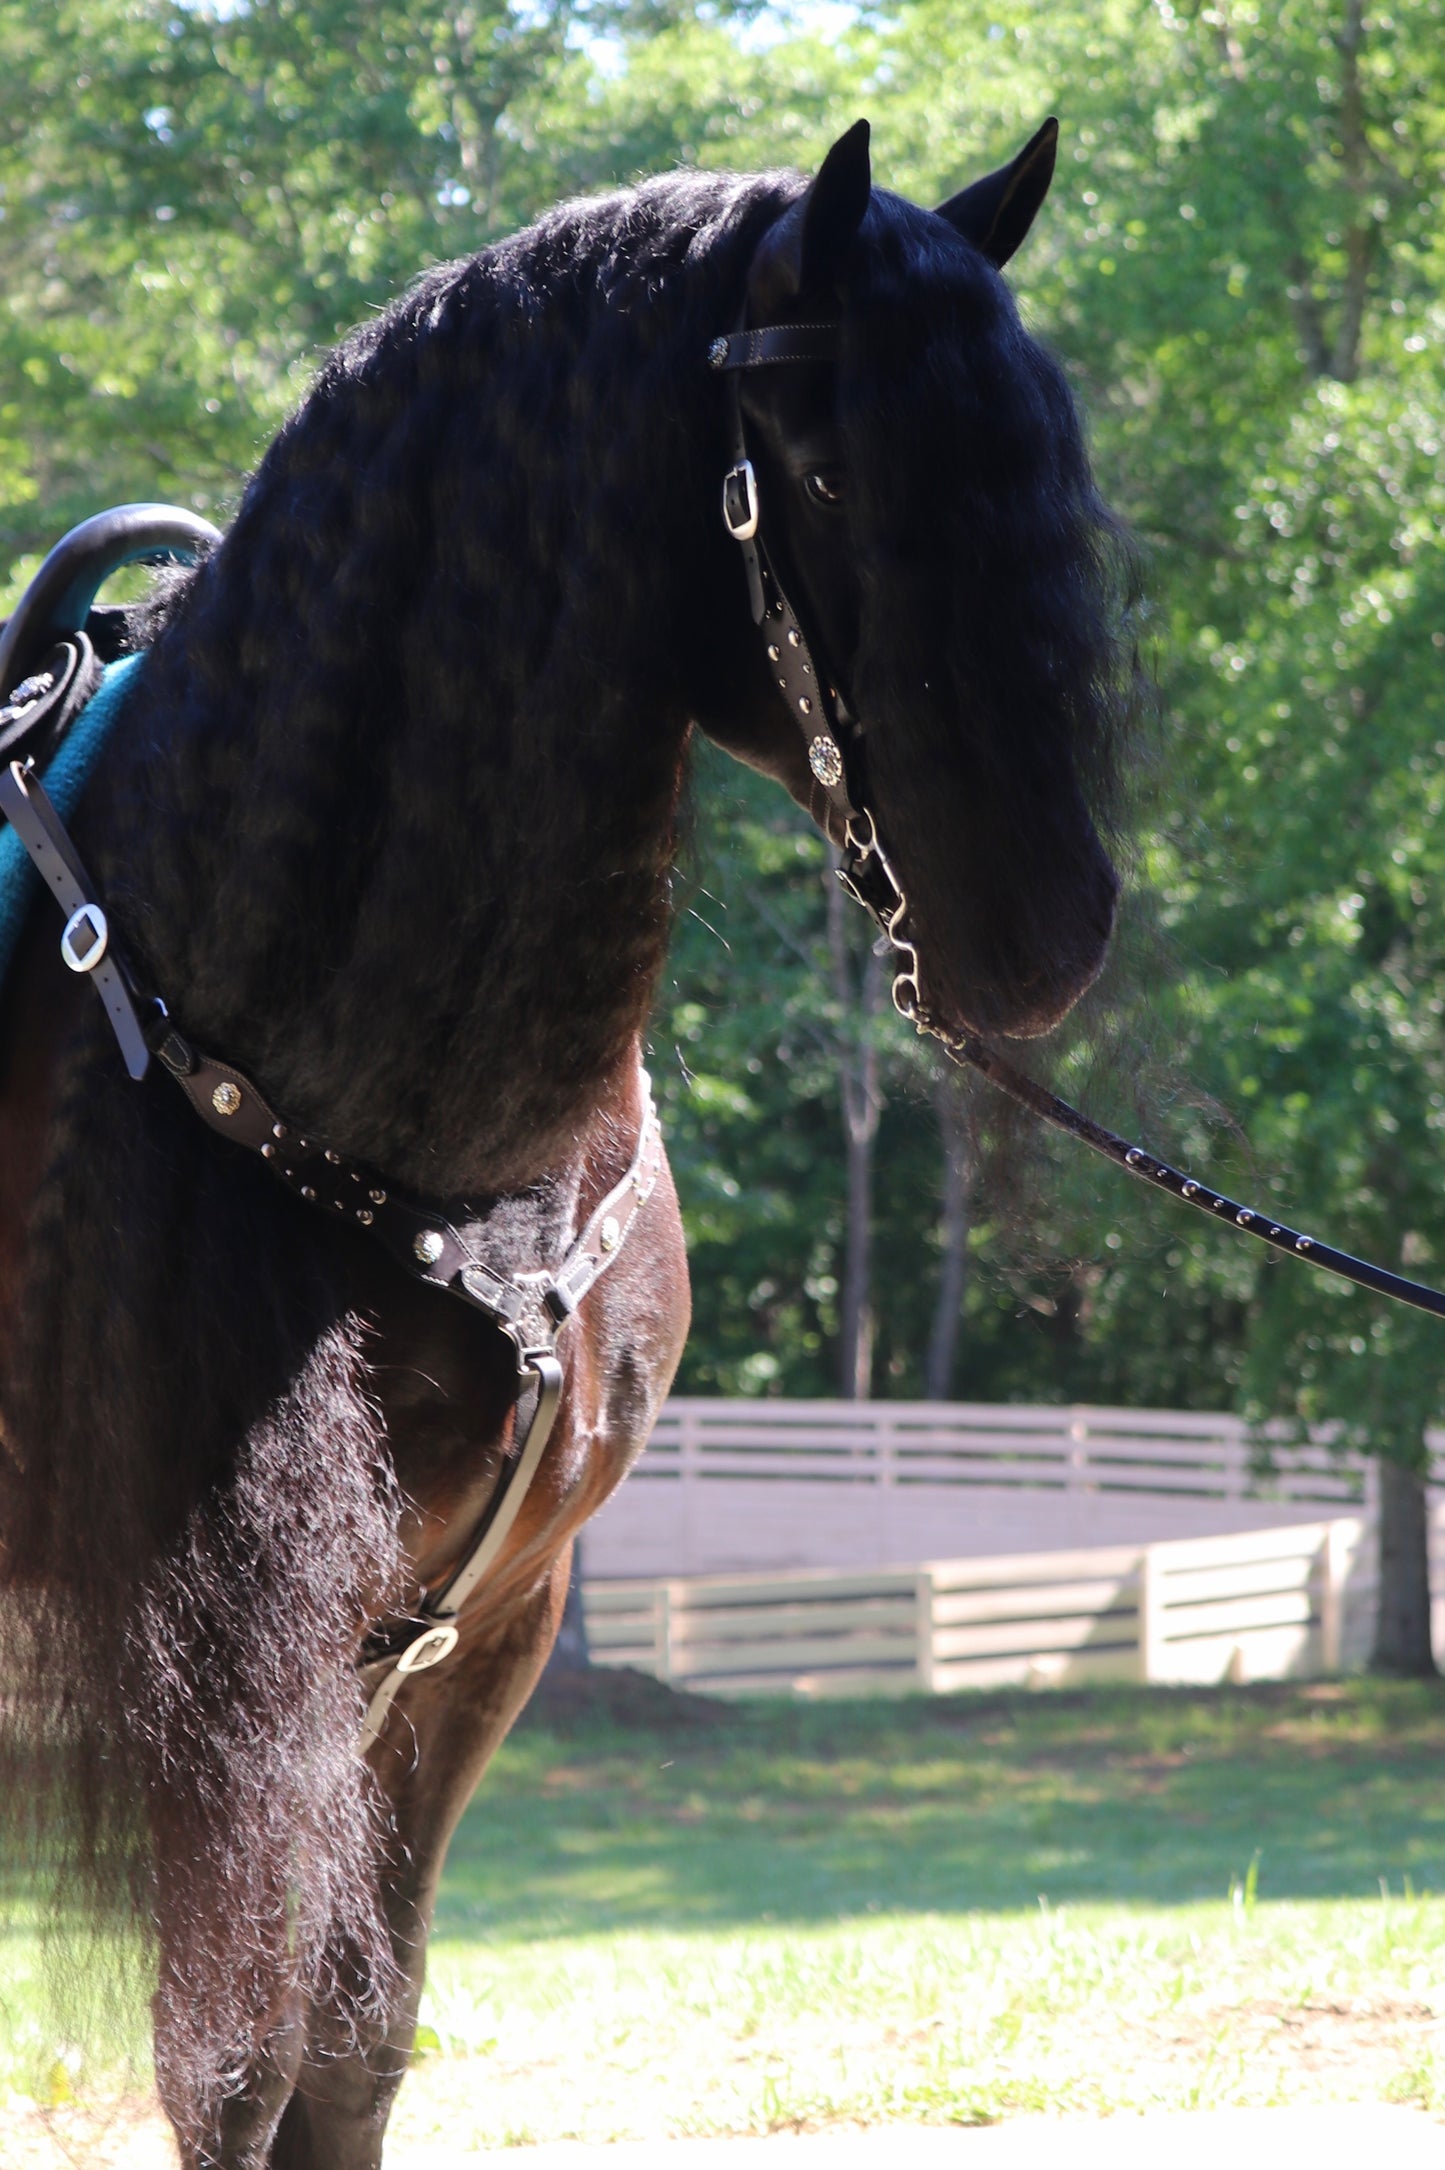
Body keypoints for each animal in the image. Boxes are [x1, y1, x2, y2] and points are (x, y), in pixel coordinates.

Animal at [0, 123, 1128, 2170]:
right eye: (828, 470)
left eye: (1038, 469)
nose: (1047, 935)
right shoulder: (239, 1676)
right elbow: (231, 2068)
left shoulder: (469, 1650)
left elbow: (350, 2048)